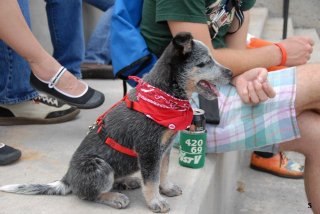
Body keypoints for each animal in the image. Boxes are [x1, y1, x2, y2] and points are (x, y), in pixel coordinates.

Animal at [0, 32, 230, 212]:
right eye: (204, 62)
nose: (230, 72)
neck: (163, 97)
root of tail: (67, 177)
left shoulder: (164, 148)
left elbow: (162, 172)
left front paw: (166, 188)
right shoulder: (149, 150)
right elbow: (151, 179)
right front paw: (155, 201)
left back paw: (127, 182)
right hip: (99, 167)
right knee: (88, 194)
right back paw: (114, 197)